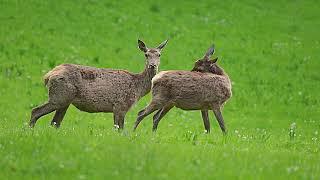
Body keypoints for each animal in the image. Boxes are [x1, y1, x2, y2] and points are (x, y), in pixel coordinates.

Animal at [29, 39, 169, 129]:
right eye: (146, 54)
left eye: (159, 54)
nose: (152, 65)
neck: (137, 88)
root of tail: (48, 76)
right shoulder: (120, 105)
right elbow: (119, 129)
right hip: (59, 97)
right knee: (36, 111)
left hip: (65, 101)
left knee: (55, 123)